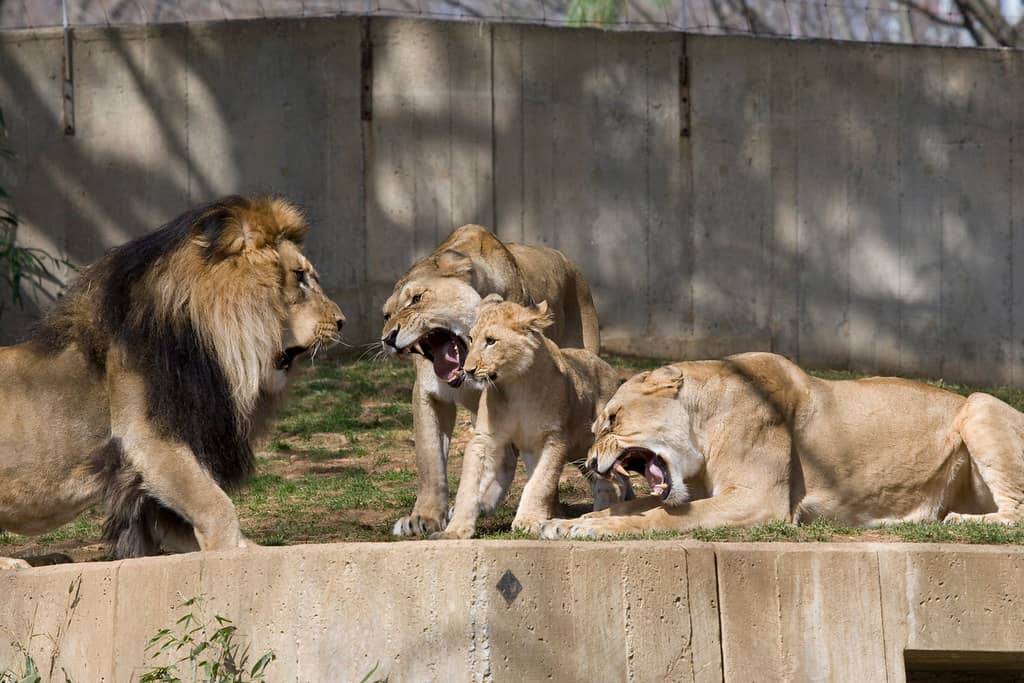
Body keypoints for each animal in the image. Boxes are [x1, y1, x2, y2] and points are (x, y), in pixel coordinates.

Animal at [0, 195, 345, 569]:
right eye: (299, 277)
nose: (341, 321)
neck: (208, 345)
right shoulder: (150, 439)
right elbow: (217, 509)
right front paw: (227, 559)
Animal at [380, 224, 610, 536]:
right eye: (387, 314)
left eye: (416, 298)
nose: (387, 339)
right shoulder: (429, 394)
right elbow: (430, 459)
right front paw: (423, 518)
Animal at [429, 296, 630, 539]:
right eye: (471, 338)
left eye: (491, 341)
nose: (467, 370)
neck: (516, 385)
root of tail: (609, 369)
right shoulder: (486, 439)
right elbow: (469, 487)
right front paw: (455, 530)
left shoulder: (553, 439)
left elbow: (540, 483)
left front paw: (528, 521)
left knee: (614, 481)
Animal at [540, 352, 1024, 539]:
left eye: (613, 420)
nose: (590, 461)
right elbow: (640, 505)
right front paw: (567, 523)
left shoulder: (758, 501)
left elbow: (658, 517)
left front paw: (591, 528)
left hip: (979, 404)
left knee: (1016, 513)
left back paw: (959, 519)